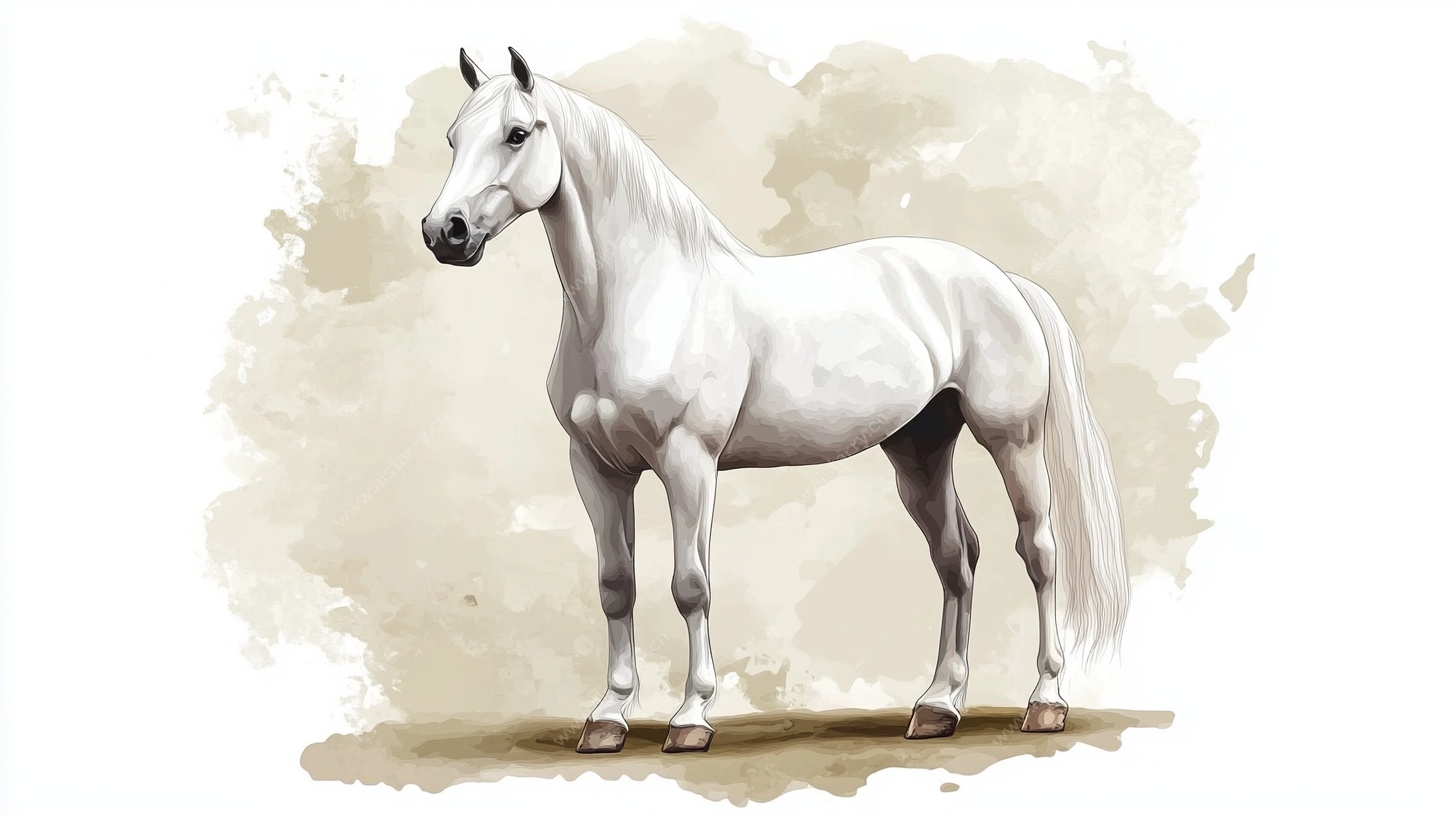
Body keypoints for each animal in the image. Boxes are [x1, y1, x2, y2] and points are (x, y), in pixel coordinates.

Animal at [422, 47, 1130, 754]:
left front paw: (691, 718)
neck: (645, 297)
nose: (444, 233)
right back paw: (938, 706)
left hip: (1013, 440)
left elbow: (690, 585)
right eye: (453, 138)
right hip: (920, 449)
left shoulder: (688, 462)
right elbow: (615, 585)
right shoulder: (596, 468)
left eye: (517, 134)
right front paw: (608, 717)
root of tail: (1001, 279)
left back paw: (1045, 701)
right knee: (957, 557)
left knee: (1038, 551)